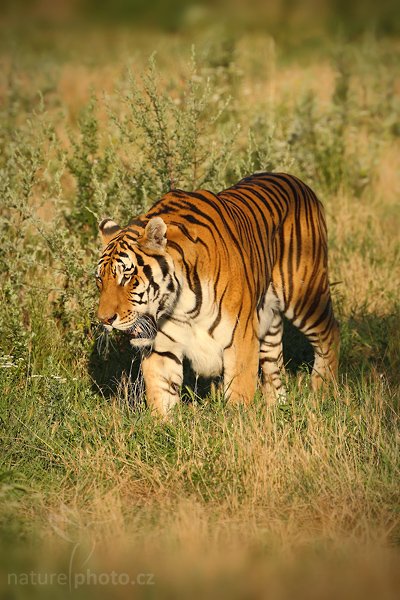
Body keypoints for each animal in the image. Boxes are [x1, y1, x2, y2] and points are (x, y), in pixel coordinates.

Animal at [95, 172, 340, 418]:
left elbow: (239, 394)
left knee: (330, 333)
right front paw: (162, 426)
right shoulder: (162, 348)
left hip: (305, 295)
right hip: (270, 320)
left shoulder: (241, 339)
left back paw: (322, 391)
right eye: (99, 280)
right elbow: (161, 398)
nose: (104, 320)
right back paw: (277, 408)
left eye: (127, 277)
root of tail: (296, 180)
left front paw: (237, 424)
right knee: (274, 364)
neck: (180, 304)